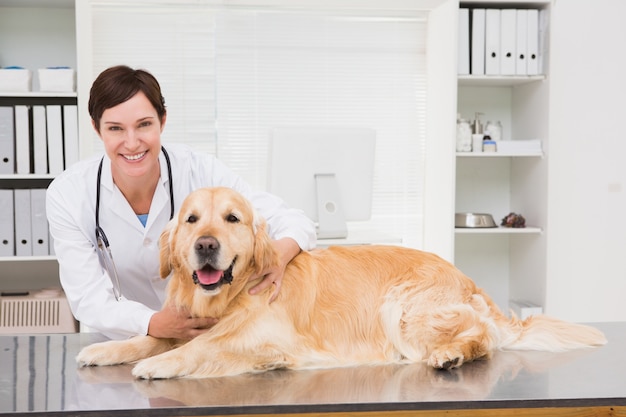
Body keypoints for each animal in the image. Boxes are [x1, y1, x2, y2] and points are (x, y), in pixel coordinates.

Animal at [74, 185, 604, 376]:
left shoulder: (259, 332)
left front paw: (160, 365)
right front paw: (107, 350)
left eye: (231, 218)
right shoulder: (192, 321)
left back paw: (451, 355)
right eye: (191, 220)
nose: (205, 245)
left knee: (483, 338)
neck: (228, 299)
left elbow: (201, 347)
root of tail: (466, 278)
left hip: (403, 307)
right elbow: (151, 337)